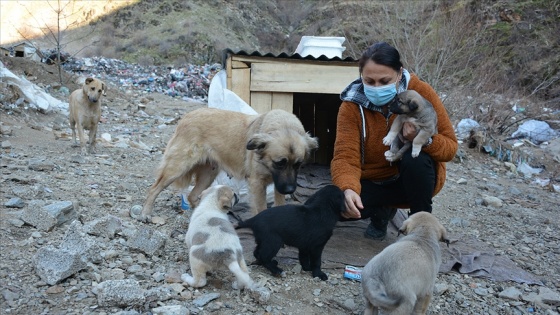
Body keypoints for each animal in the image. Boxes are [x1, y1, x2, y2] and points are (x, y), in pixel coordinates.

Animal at [139, 108, 318, 222]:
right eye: (279, 163)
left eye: (298, 164)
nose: (290, 190)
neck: (284, 126)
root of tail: (187, 117)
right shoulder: (257, 183)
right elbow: (261, 209)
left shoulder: (278, 184)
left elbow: (279, 204)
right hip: (177, 167)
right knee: (154, 189)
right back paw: (145, 213)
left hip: (209, 173)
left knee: (192, 195)